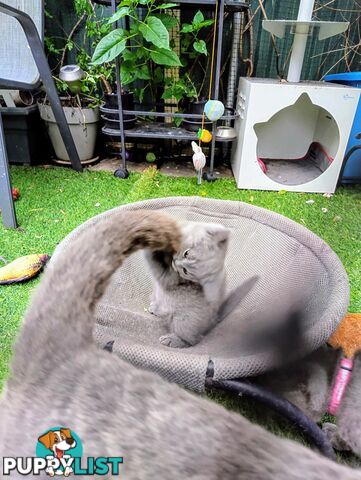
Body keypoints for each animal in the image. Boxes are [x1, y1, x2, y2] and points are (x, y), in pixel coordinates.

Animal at [2, 211, 360, 480]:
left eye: (190, 267)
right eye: (186, 255)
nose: (180, 264)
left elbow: (157, 268)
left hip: (187, 324)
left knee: (189, 339)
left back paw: (169, 336)